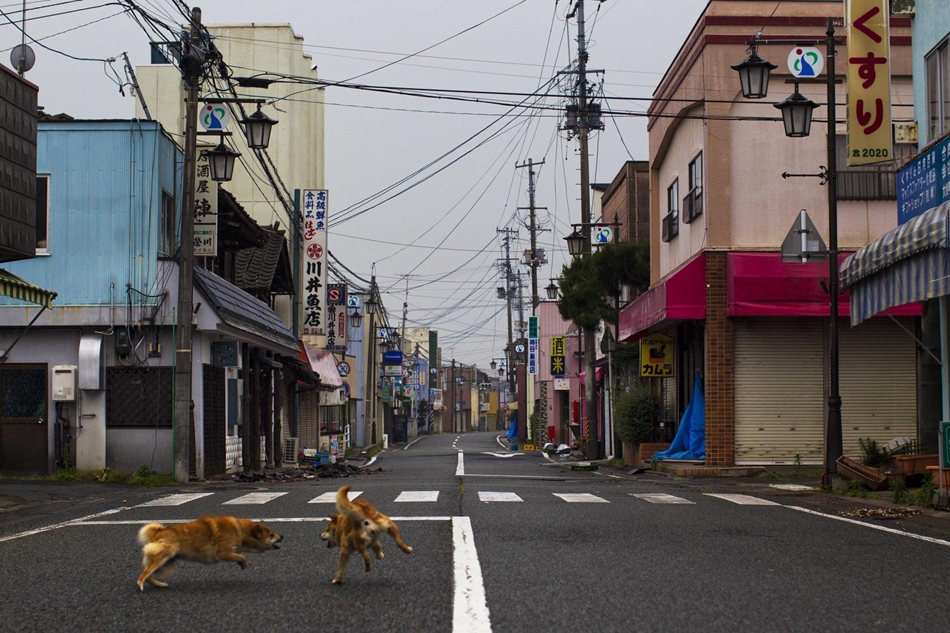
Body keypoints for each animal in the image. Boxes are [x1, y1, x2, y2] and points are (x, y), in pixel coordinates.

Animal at [136, 516, 282, 592]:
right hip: (162, 559)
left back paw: (159, 585)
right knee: (143, 575)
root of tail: (158, 532)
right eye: (271, 535)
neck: (240, 531)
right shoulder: (222, 553)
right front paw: (244, 563)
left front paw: (240, 562)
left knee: (147, 575)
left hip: (166, 567)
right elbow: (242, 556)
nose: (282, 536)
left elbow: (238, 555)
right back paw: (141, 586)